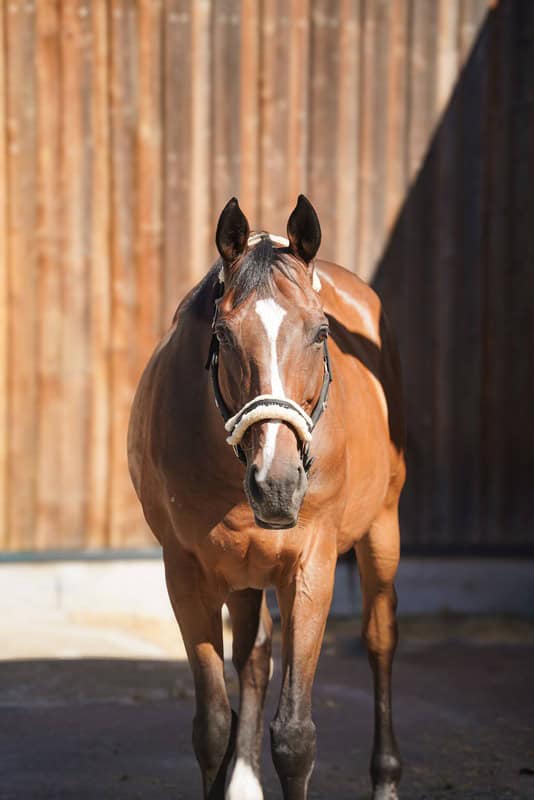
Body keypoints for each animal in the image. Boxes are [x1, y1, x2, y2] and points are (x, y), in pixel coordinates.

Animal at [128, 195, 406, 800]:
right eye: (225, 334)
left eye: (322, 333)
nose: (276, 484)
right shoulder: (187, 571)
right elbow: (213, 724)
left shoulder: (310, 569)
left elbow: (296, 736)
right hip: (243, 573)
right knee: (253, 656)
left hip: (382, 529)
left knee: (380, 639)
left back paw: (386, 777)